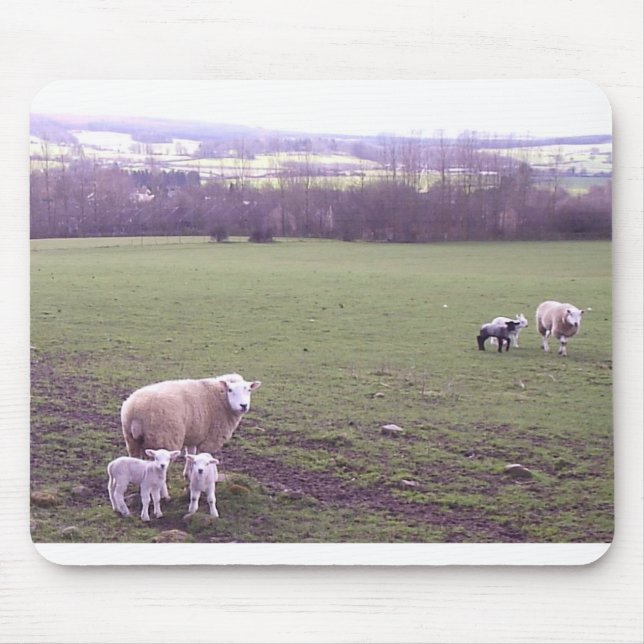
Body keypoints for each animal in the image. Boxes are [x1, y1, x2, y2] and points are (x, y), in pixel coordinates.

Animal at [120, 373, 261, 478]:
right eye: (230, 390)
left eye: (249, 390)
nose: (243, 405)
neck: (221, 399)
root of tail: (135, 410)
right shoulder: (209, 440)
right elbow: (205, 457)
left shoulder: (194, 434)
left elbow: (191, 455)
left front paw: (188, 474)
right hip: (163, 440)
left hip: (131, 440)